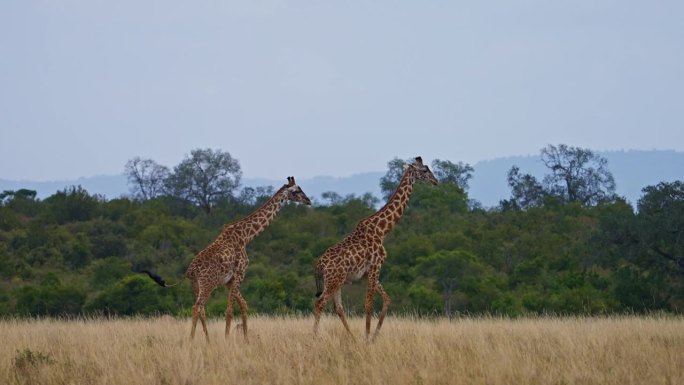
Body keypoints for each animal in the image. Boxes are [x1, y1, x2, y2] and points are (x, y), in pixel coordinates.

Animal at [148, 176, 314, 340]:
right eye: (296, 191)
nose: (308, 200)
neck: (247, 236)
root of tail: (189, 271)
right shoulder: (240, 273)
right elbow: (230, 310)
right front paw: (228, 339)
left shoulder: (228, 280)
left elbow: (243, 304)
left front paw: (246, 339)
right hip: (208, 284)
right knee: (197, 307)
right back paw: (191, 340)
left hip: (196, 285)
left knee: (201, 309)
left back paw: (207, 341)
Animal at [312, 156, 436, 340]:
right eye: (425, 170)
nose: (436, 181)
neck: (381, 230)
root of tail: (319, 264)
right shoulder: (376, 266)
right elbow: (369, 304)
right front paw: (367, 337)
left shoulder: (367, 272)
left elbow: (387, 300)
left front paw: (374, 335)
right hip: (334, 280)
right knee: (320, 303)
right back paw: (314, 337)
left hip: (338, 281)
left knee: (338, 308)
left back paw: (351, 337)